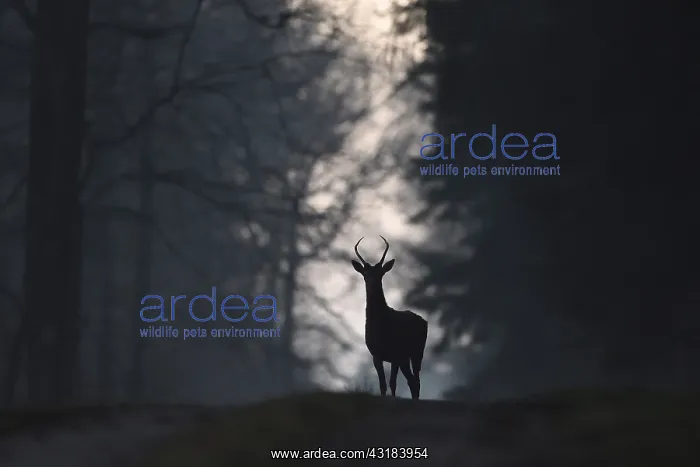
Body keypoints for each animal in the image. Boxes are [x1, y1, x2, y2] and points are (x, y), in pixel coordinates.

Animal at [352, 236, 428, 400]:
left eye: (381, 273)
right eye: (365, 274)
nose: (372, 283)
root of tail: (424, 321)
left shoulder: (396, 353)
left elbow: (393, 383)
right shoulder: (376, 354)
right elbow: (383, 384)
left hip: (417, 352)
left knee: (416, 381)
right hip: (407, 357)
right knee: (413, 381)